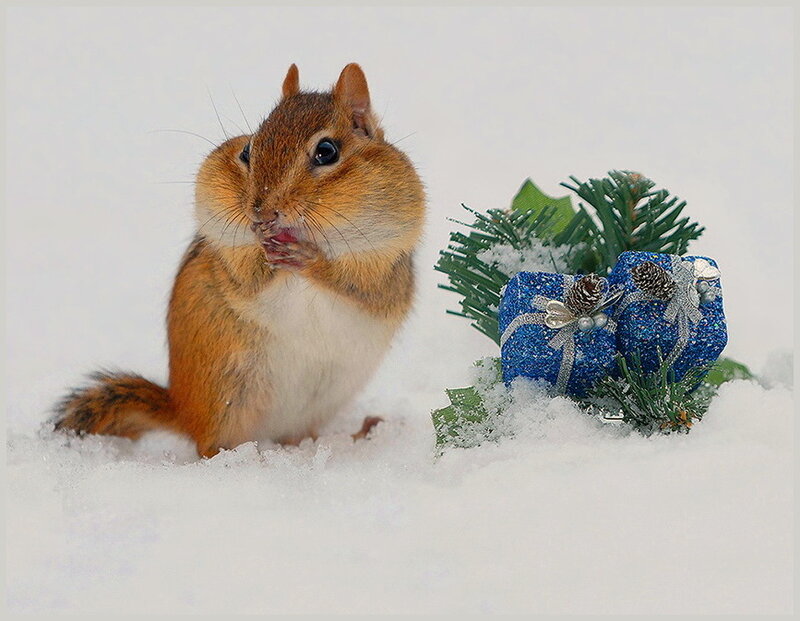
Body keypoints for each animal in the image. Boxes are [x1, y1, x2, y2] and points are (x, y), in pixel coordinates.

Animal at [53, 63, 425, 458]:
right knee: (209, 445)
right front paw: (264, 249)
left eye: (327, 151)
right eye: (248, 150)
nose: (262, 212)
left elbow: (359, 284)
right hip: (226, 395)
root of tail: (181, 411)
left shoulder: (383, 259)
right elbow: (246, 276)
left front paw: (310, 258)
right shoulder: (228, 254)